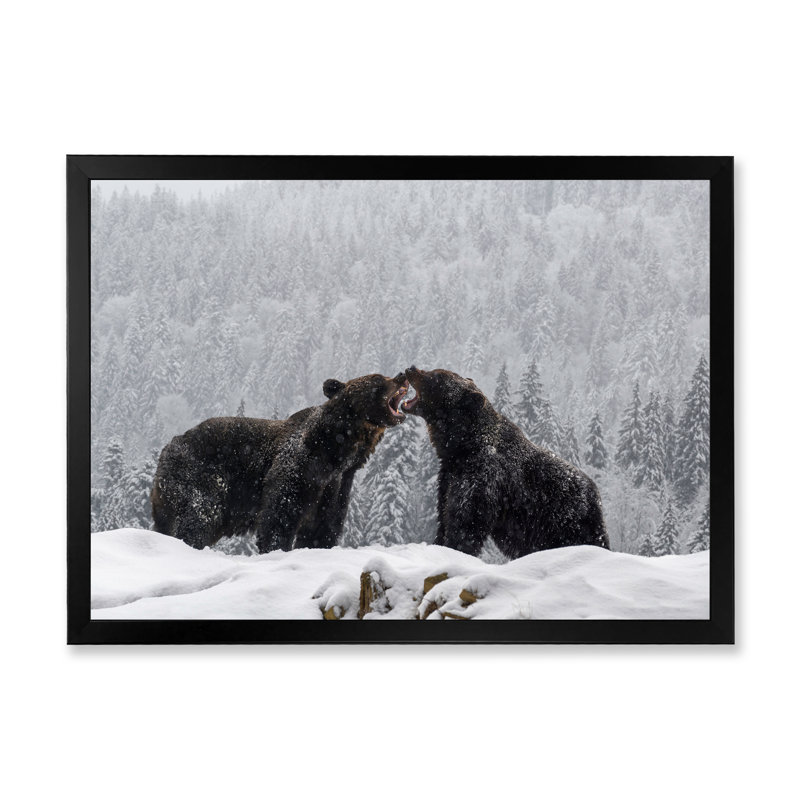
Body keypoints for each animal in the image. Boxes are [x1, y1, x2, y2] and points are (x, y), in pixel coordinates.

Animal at [151, 372, 410, 553]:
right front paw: (276, 547)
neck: (337, 450)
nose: (402, 375)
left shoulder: (338, 484)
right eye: (378, 379)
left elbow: (324, 526)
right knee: (199, 515)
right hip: (200, 475)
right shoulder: (301, 465)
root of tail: (168, 447)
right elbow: (280, 512)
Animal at [401, 366, 609, 559]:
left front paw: (456, 549)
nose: (411, 369)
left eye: (437, 376)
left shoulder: (484, 476)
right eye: (434, 371)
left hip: (565, 521)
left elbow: (465, 522)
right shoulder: (449, 476)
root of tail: (596, 495)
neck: (463, 446)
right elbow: (445, 515)